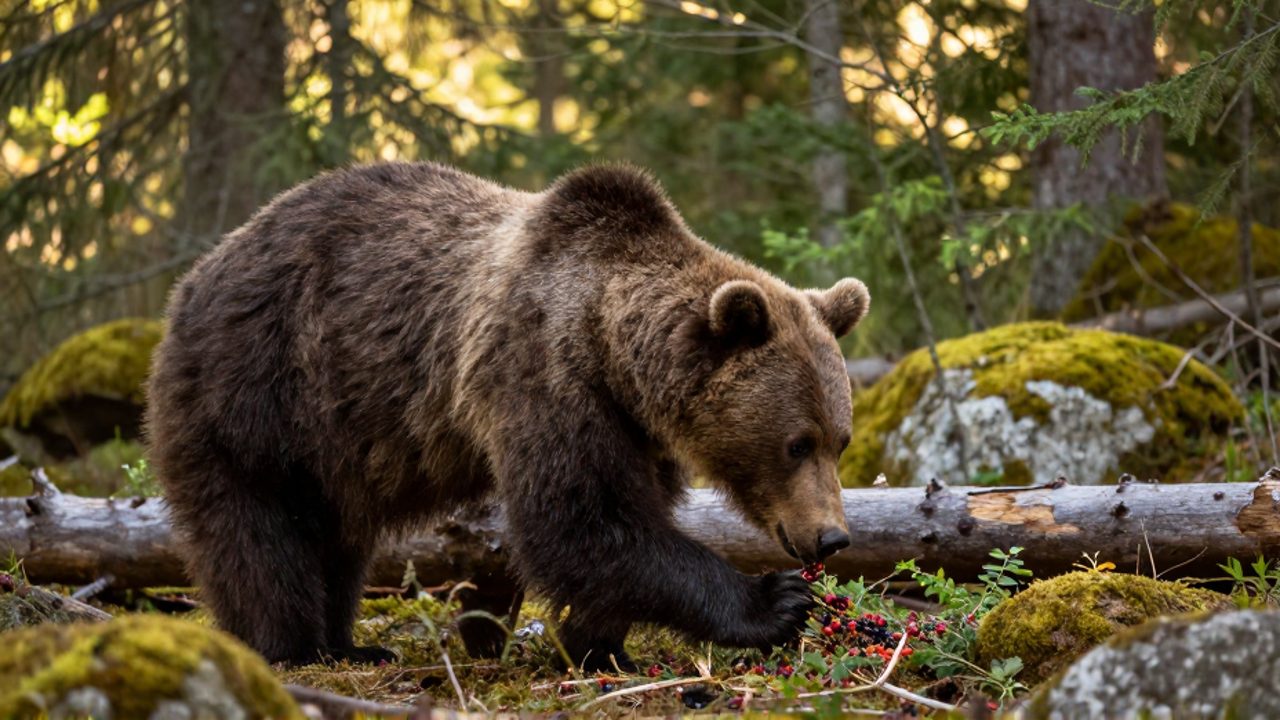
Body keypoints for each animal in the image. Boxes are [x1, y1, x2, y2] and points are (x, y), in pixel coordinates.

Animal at [145, 162, 870, 671]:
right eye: (796, 444)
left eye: (840, 440)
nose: (832, 537)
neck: (610, 348)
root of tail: (194, 277)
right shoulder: (538, 375)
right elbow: (579, 520)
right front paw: (774, 602)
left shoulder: (634, 426)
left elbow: (622, 525)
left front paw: (600, 646)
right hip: (256, 394)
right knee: (259, 531)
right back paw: (292, 647)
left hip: (334, 439)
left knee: (337, 538)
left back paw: (350, 643)